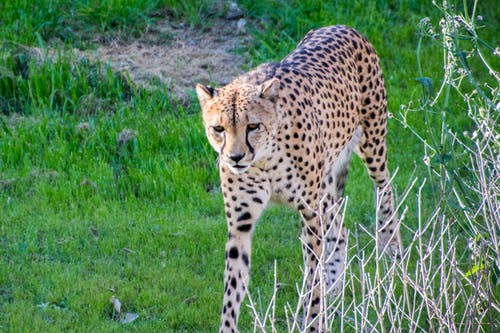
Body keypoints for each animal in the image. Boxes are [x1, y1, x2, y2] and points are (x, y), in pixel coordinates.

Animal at [195, 24, 402, 330]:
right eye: (218, 128)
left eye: (252, 126)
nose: (235, 157)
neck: (264, 161)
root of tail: (341, 26)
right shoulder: (240, 224)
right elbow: (232, 290)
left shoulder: (309, 213)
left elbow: (312, 275)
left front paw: (313, 321)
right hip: (326, 187)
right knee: (339, 232)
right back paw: (333, 292)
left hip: (373, 146)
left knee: (385, 192)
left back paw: (393, 260)